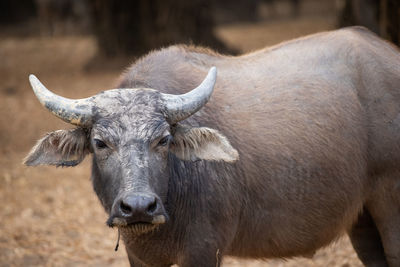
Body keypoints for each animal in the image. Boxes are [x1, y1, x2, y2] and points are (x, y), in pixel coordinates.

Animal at [25, 26, 400, 266]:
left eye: (163, 140)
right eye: (100, 143)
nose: (139, 207)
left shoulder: (204, 249)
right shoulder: (140, 256)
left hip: (390, 203)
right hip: (362, 219)